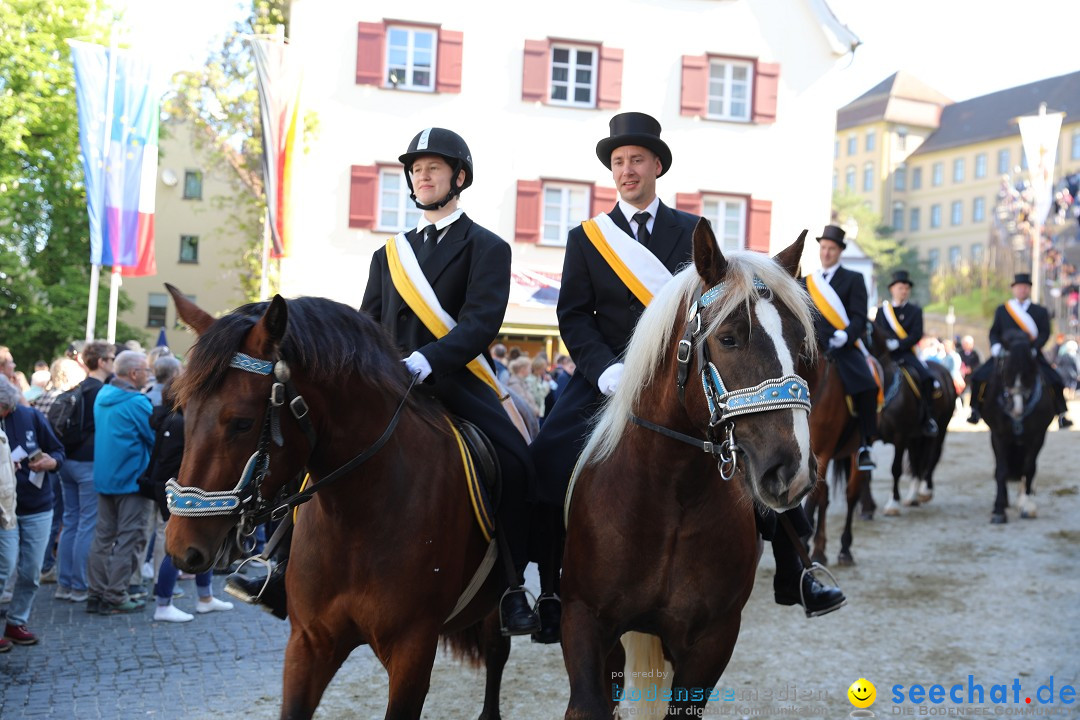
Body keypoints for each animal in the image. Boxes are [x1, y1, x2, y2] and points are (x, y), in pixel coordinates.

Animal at [160, 287, 514, 720]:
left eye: (242, 422)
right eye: (182, 410)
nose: (181, 547)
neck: (359, 517)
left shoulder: (412, 651)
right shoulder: (310, 643)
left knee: (497, 652)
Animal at [561, 222, 812, 716]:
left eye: (798, 343)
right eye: (729, 338)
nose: (790, 472)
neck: (670, 496)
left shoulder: (712, 640)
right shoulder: (582, 620)